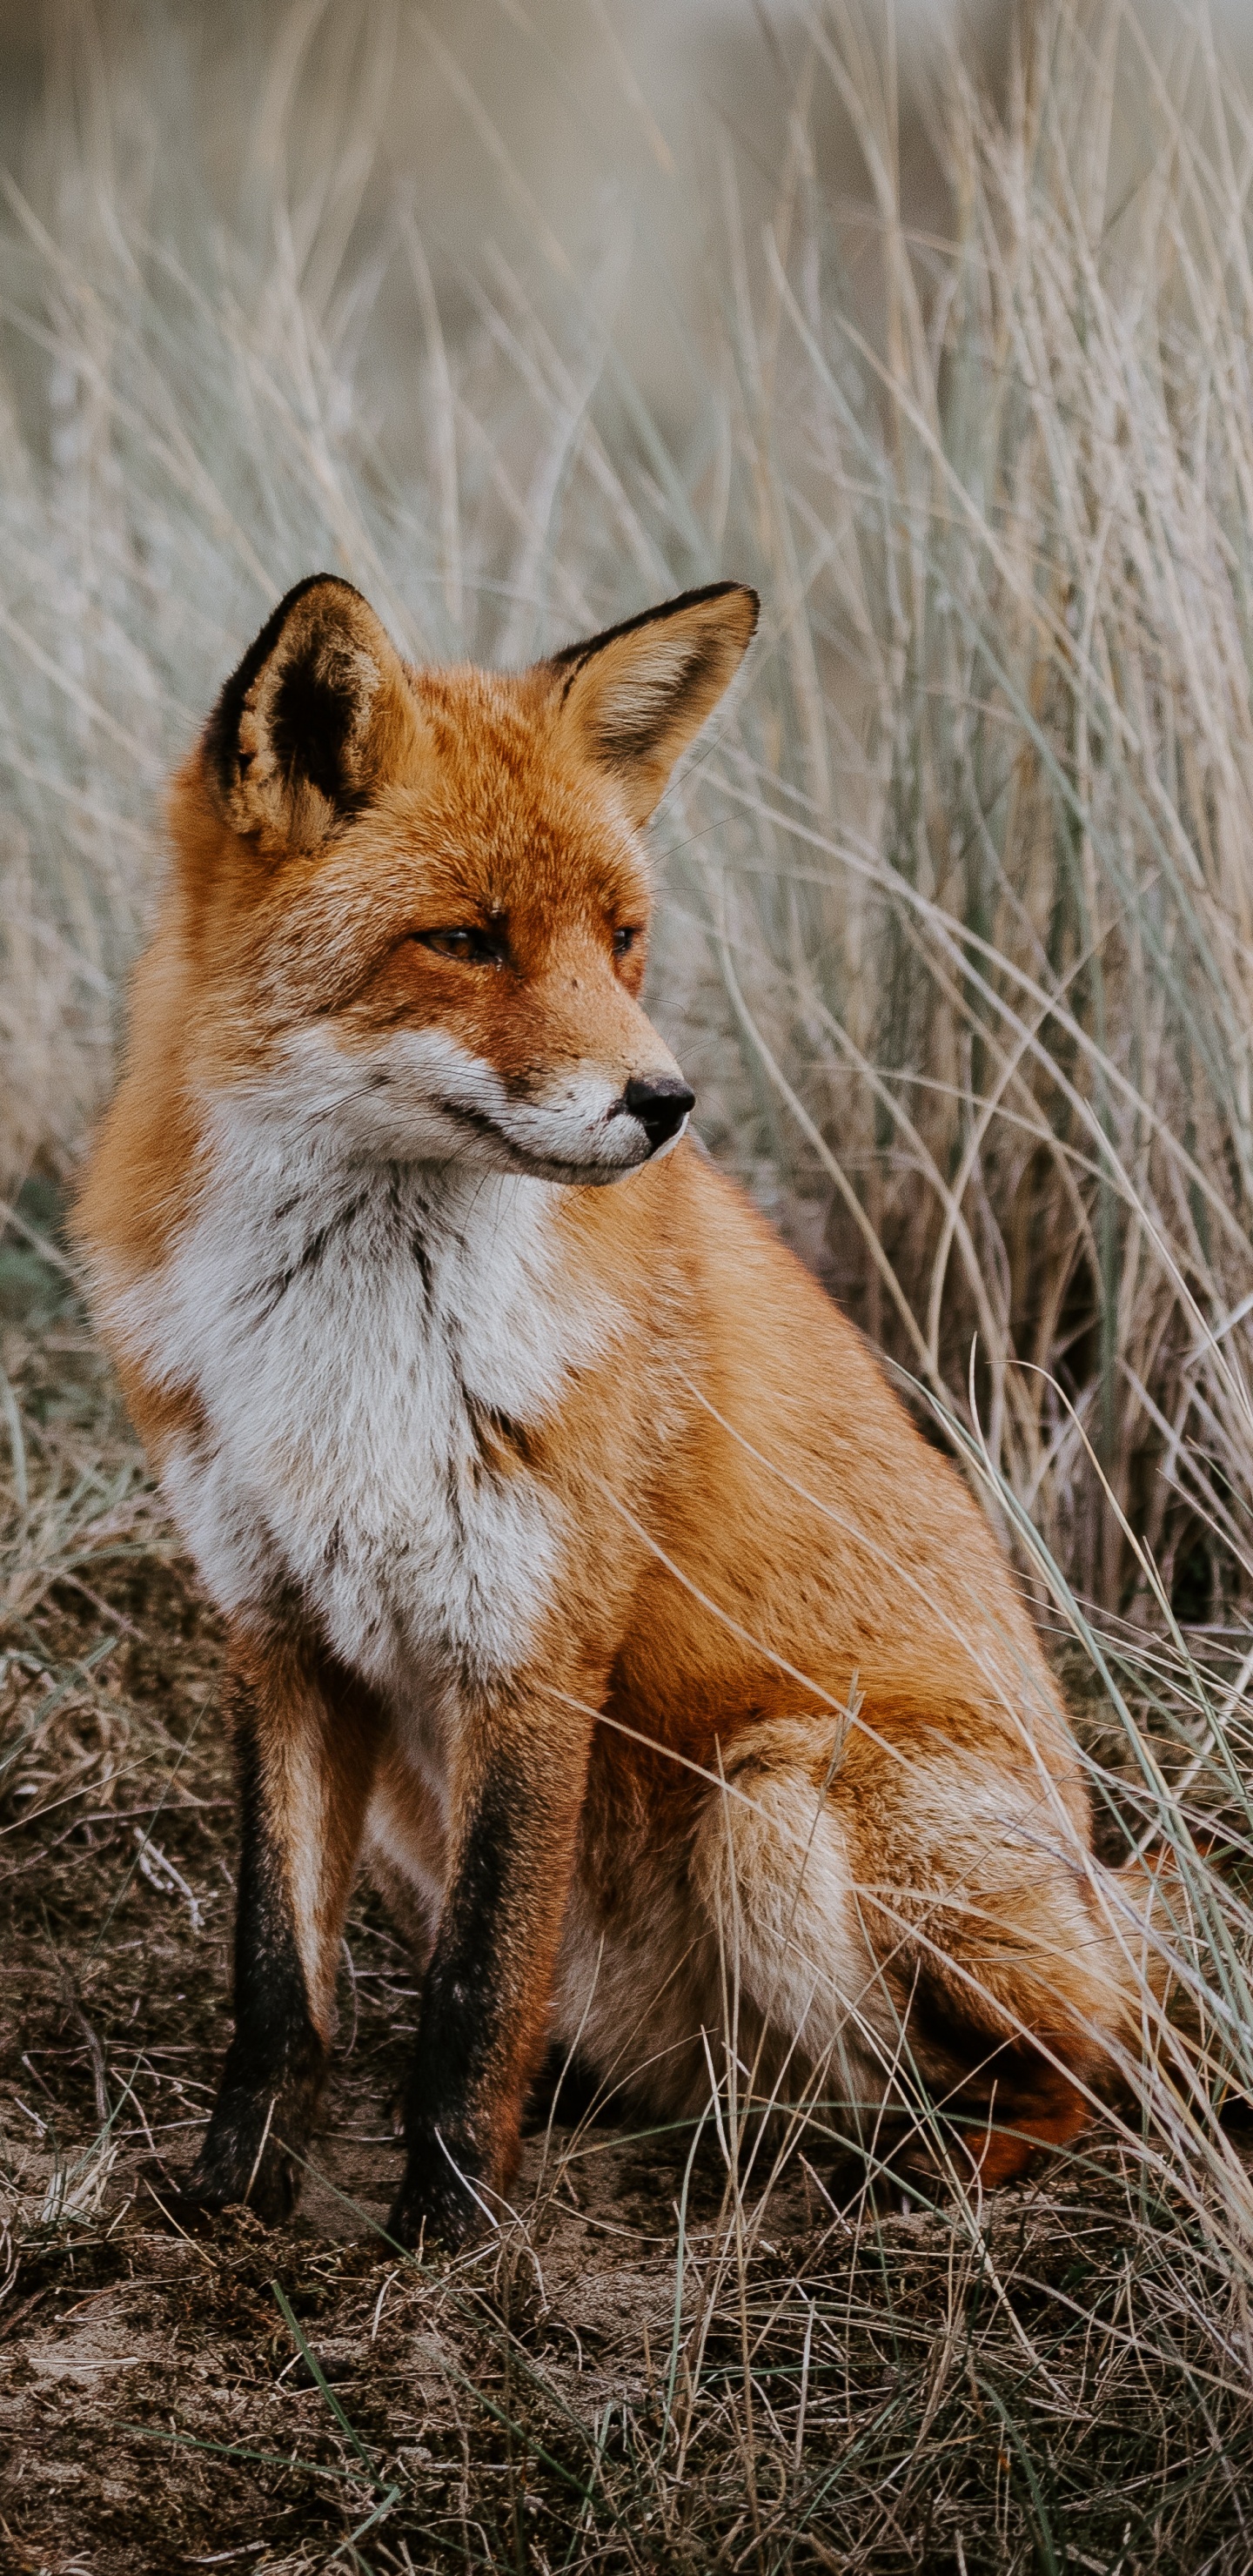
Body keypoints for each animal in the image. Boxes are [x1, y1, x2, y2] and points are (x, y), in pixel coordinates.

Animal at [78, 574, 1155, 2246]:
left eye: (622, 941)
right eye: (465, 939)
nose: (667, 1105)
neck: (348, 1348)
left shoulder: (536, 1644)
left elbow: (474, 1993)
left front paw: (450, 2244)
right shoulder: (274, 1627)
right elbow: (277, 1987)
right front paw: (233, 2207)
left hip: (784, 1805)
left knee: (1087, 2071)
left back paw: (904, 2184)